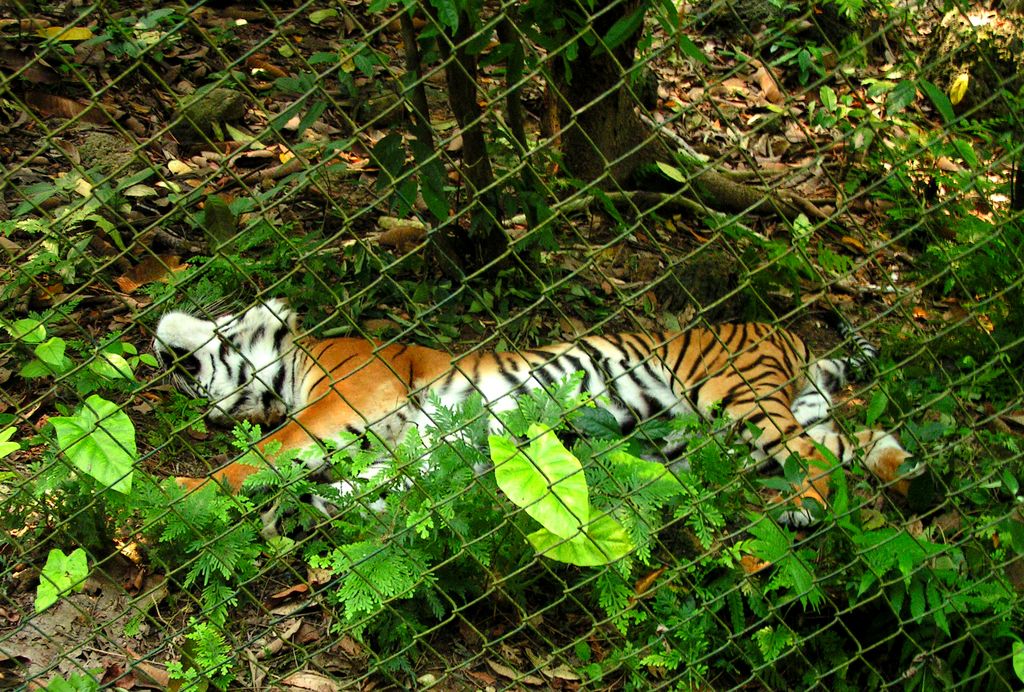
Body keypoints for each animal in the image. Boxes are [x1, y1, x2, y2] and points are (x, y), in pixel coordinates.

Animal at [153, 298, 921, 524]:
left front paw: (170, 495)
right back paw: (904, 469)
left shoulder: (342, 402)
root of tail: (792, 336)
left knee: (811, 455)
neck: (297, 360)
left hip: (733, 395)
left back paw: (800, 509)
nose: (158, 346)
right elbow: (364, 488)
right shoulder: (403, 451)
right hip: (787, 409)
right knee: (855, 444)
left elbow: (257, 459)